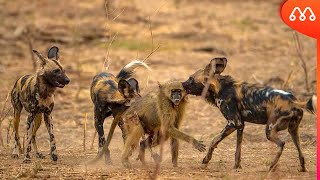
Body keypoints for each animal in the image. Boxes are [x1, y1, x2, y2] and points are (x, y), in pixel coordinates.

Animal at [181, 57, 316, 172]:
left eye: (191, 79)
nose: (181, 83)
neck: (220, 88)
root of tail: (294, 101)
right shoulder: (240, 125)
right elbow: (238, 150)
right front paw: (237, 166)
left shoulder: (233, 122)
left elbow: (214, 140)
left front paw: (205, 161)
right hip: (293, 130)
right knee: (300, 150)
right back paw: (302, 168)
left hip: (269, 130)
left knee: (281, 144)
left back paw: (271, 166)